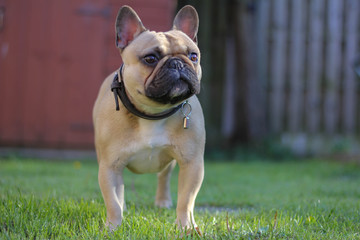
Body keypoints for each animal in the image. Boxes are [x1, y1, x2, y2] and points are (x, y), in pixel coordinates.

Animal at [92, 5, 205, 231]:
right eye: (150, 59)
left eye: (193, 56)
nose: (178, 64)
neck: (153, 113)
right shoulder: (110, 166)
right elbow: (113, 202)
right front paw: (113, 228)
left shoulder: (192, 164)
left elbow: (186, 200)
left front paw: (185, 227)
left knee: (164, 178)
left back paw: (163, 202)